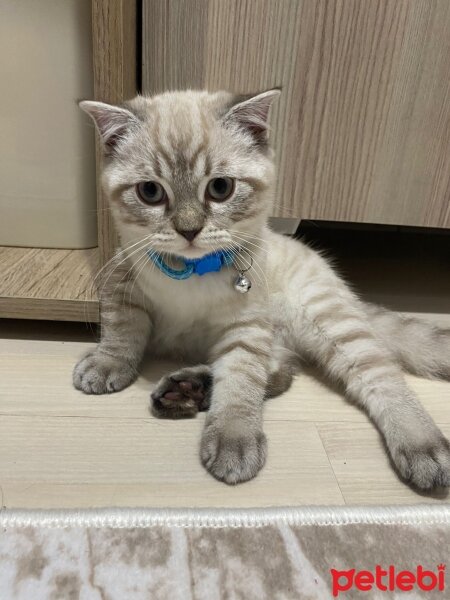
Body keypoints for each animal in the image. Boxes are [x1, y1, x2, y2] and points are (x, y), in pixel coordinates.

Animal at [74, 90, 450, 492]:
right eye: (150, 192)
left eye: (220, 188)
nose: (189, 230)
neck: (192, 270)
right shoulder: (121, 281)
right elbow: (121, 333)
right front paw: (106, 364)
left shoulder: (246, 325)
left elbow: (241, 383)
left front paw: (233, 437)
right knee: (281, 372)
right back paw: (190, 389)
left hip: (329, 322)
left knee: (380, 377)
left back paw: (422, 445)